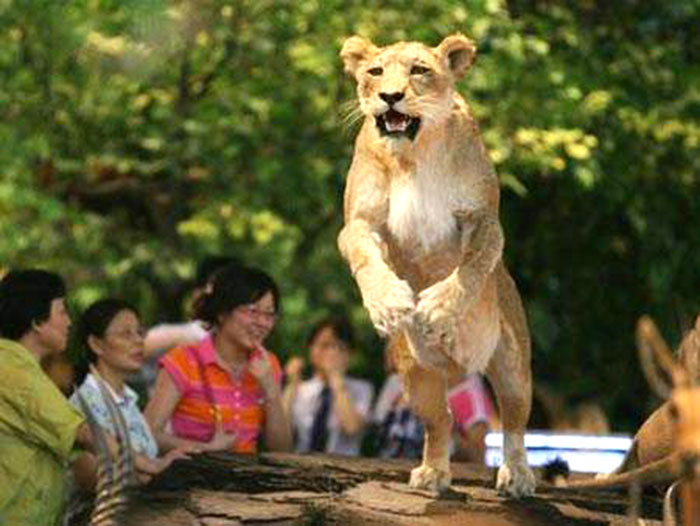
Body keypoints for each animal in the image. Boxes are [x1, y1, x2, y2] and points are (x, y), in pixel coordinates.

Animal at [340, 34, 536, 500]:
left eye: (419, 70)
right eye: (375, 72)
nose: (390, 96)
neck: (413, 155)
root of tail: (459, 366)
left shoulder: (484, 219)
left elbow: (473, 265)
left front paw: (440, 309)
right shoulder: (358, 222)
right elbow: (365, 258)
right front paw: (388, 304)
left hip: (513, 364)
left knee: (514, 423)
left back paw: (517, 475)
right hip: (416, 376)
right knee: (441, 421)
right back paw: (432, 474)